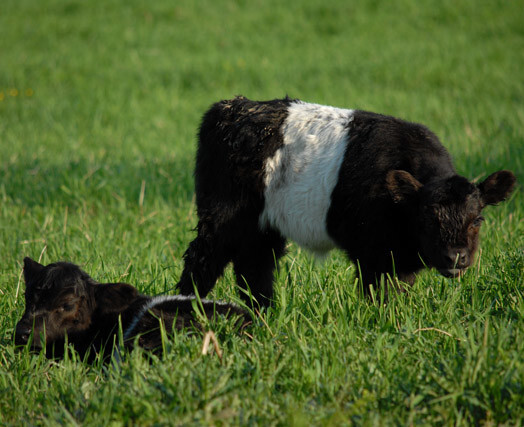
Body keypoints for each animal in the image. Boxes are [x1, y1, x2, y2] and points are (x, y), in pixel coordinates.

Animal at [176, 96, 516, 308]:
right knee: (202, 261)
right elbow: (379, 295)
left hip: (261, 227)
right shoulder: (372, 254)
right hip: (220, 217)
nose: (456, 257)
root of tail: (232, 107)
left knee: (254, 269)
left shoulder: (399, 259)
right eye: (428, 218)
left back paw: (263, 315)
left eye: (477, 219)